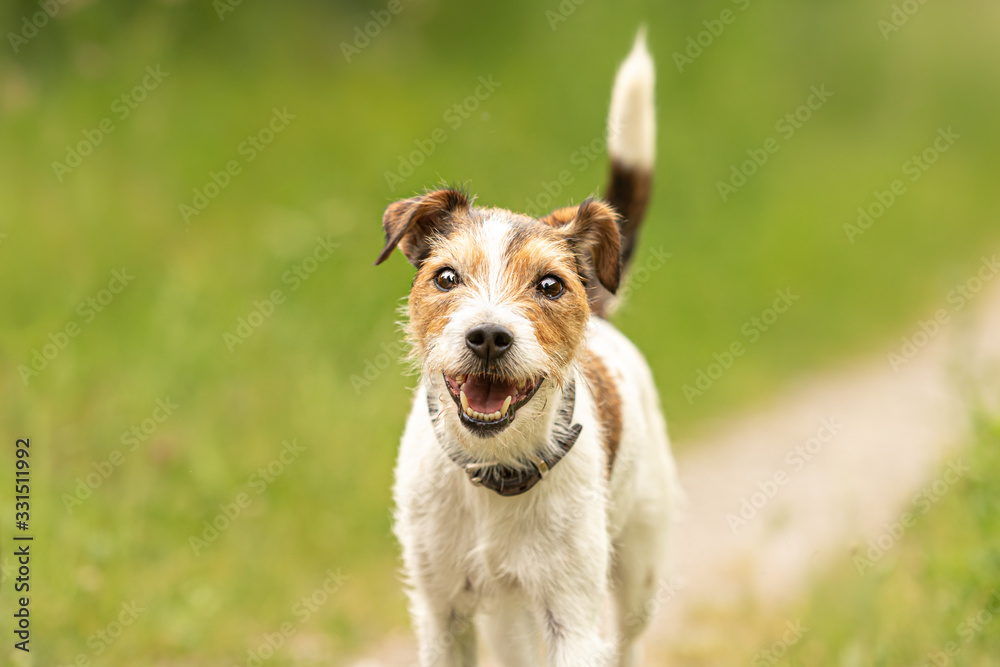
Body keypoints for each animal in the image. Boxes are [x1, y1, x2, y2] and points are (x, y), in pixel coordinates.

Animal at [376, 28, 680, 664]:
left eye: (550, 285)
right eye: (446, 277)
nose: (489, 336)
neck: (493, 471)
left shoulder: (571, 616)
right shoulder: (441, 614)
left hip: (637, 570)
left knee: (630, 642)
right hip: (505, 613)